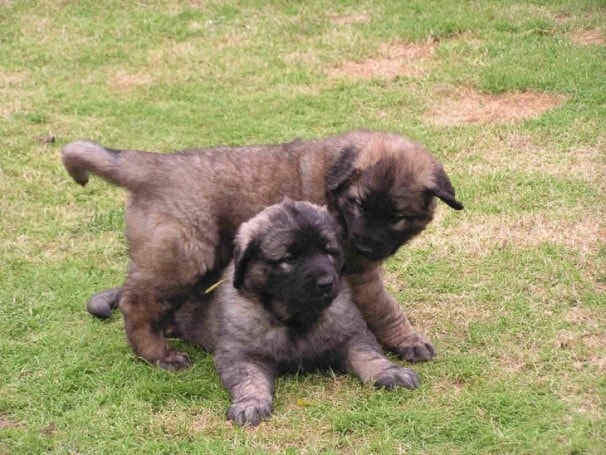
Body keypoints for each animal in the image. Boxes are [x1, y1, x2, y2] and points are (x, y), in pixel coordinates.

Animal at [63, 129, 466, 370]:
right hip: (184, 255)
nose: (364, 244)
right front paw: (409, 341)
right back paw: (156, 353)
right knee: (137, 301)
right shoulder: (358, 274)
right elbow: (385, 308)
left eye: (397, 217)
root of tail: (153, 165)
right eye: (358, 205)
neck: (333, 181)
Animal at [173, 200, 420, 428]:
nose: (326, 283)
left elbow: (367, 355)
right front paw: (251, 403)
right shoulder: (239, 353)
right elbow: (249, 377)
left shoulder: (351, 334)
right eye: (290, 259)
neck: (296, 319)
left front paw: (389, 372)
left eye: (329, 252)